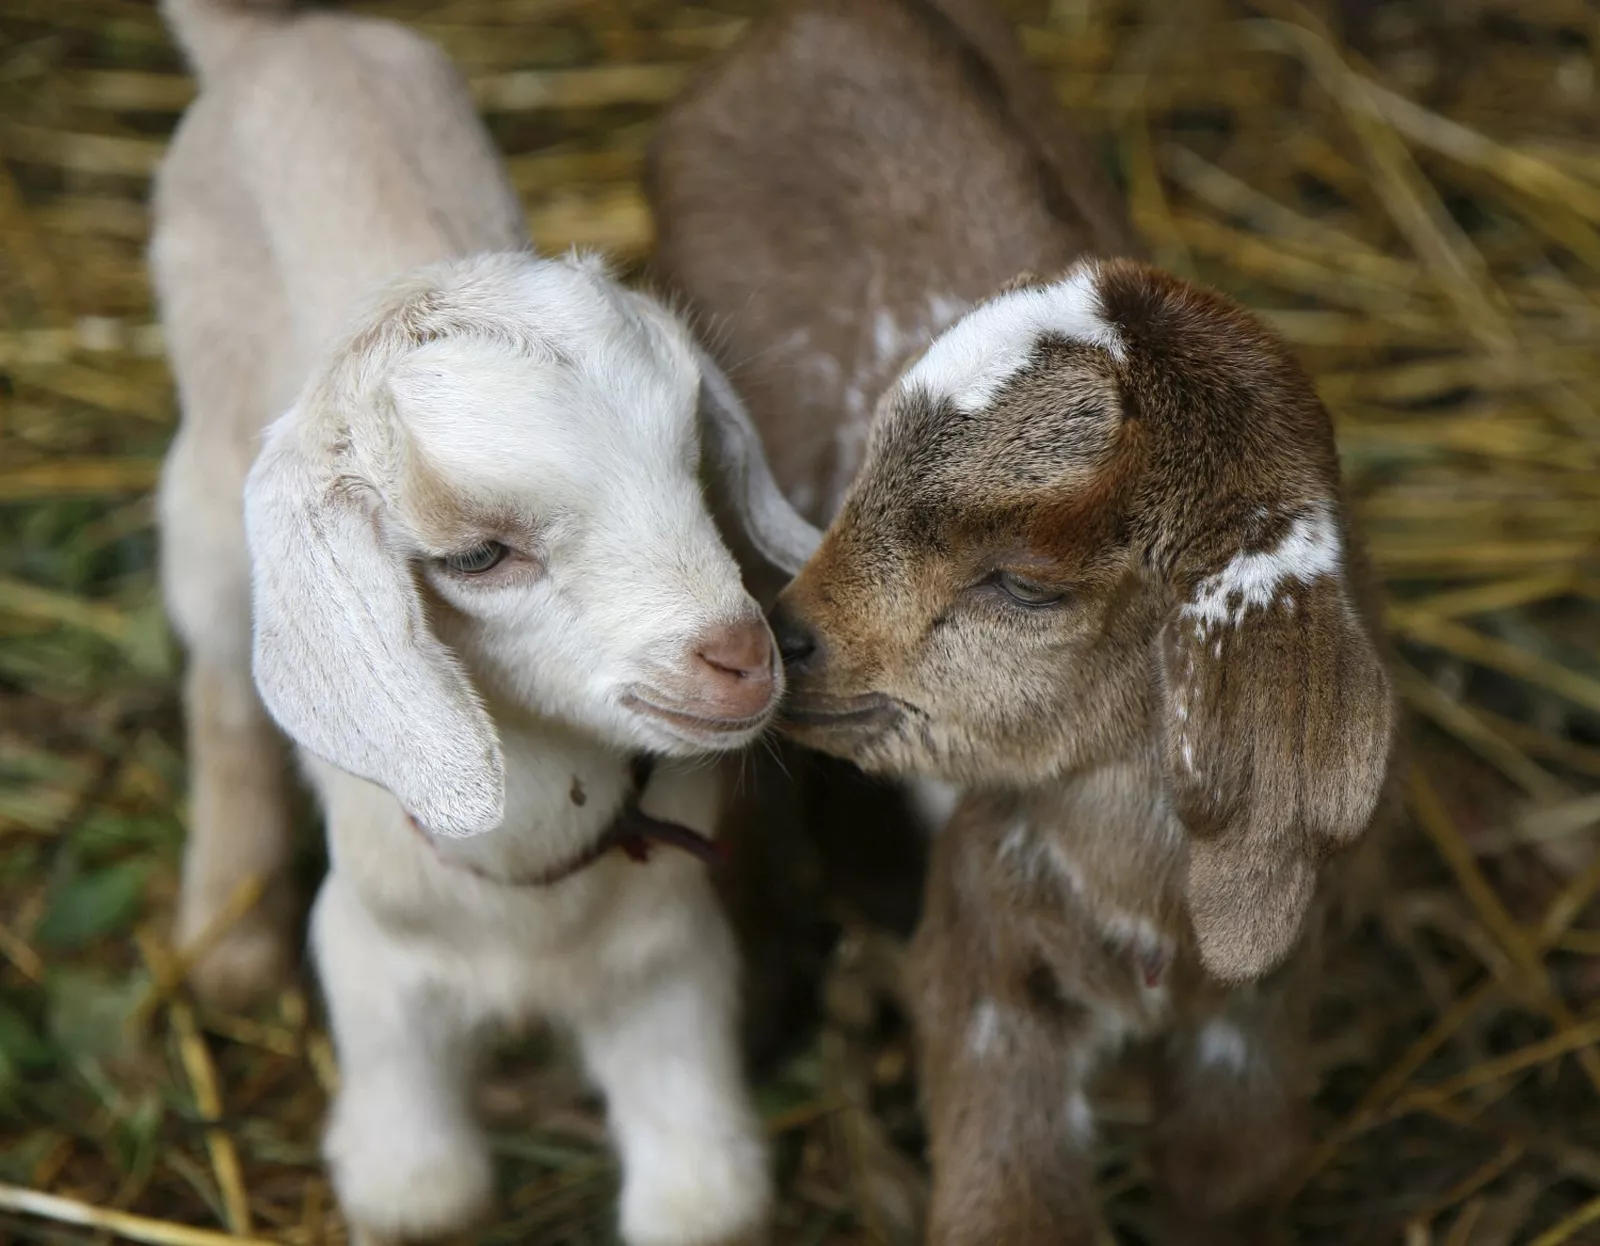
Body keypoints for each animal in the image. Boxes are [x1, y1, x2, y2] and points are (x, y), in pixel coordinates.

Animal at [152, 1, 818, 1241]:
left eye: (691, 459)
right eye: (475, 556)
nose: (741, 659)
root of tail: (274, 37)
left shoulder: (670, 966)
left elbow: (702, 1199)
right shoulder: (371, 961)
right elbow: (423, 1190)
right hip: (207, 498)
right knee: (219, 683)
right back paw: (228, 935)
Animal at [648, 1, 1399, 1242]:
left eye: (1025, 584)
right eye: (865, 467)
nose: (792, 636)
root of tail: (814, 19)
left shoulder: (1261, 1001)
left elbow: (1234, 1172)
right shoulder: (986, 957)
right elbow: (1010, 1200)